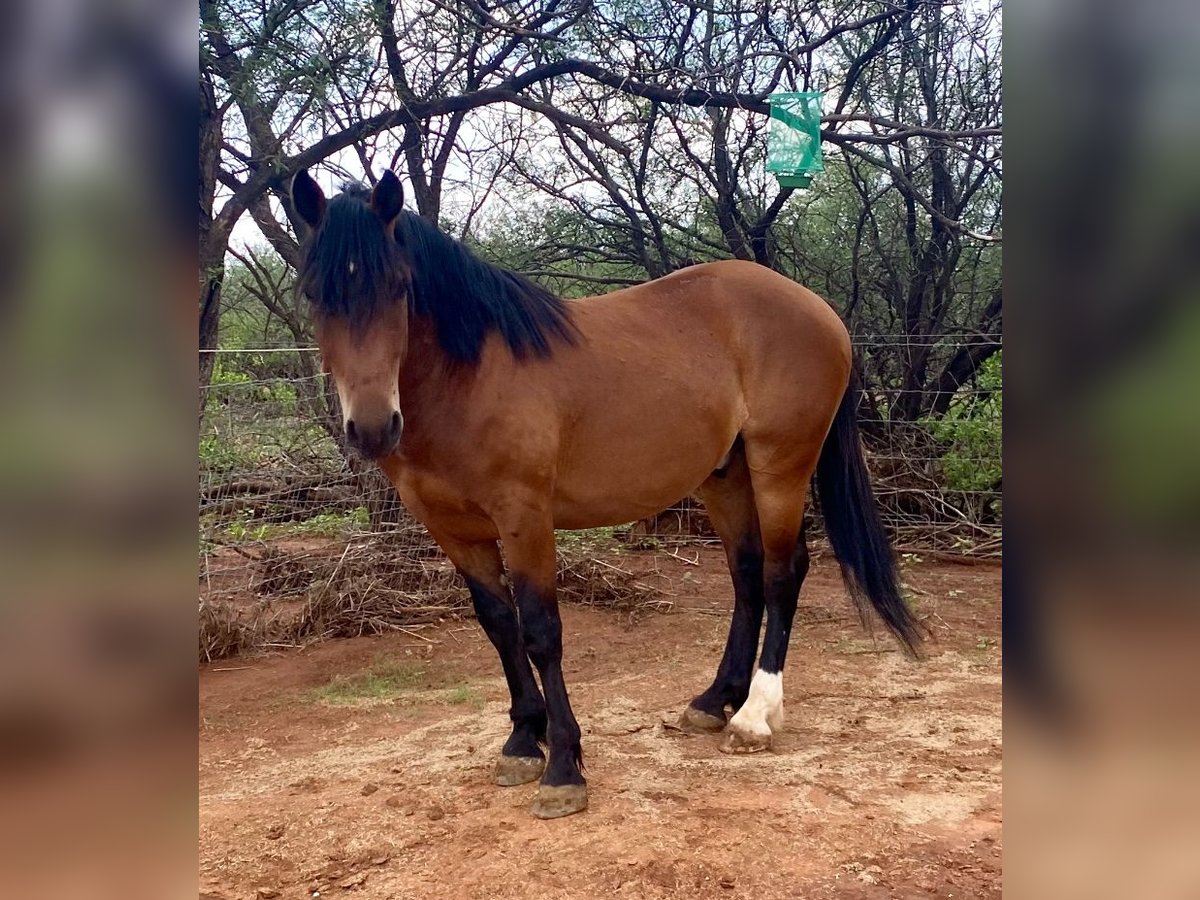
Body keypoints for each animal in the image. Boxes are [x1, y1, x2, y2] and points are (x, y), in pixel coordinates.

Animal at [288, 170, 916, 825]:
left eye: (400, 287)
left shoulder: (524, 517)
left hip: (781, 466)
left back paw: (754, 716)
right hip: (726, 474)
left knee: (781, 573)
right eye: (316, 294)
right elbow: (499, 625)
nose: (372, 428)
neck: (466, 379)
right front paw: (522, 741)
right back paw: (714, 700)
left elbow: (541, 631)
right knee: (746, 574)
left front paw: (563, 767)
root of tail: (820, 310)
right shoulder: (452, 528)